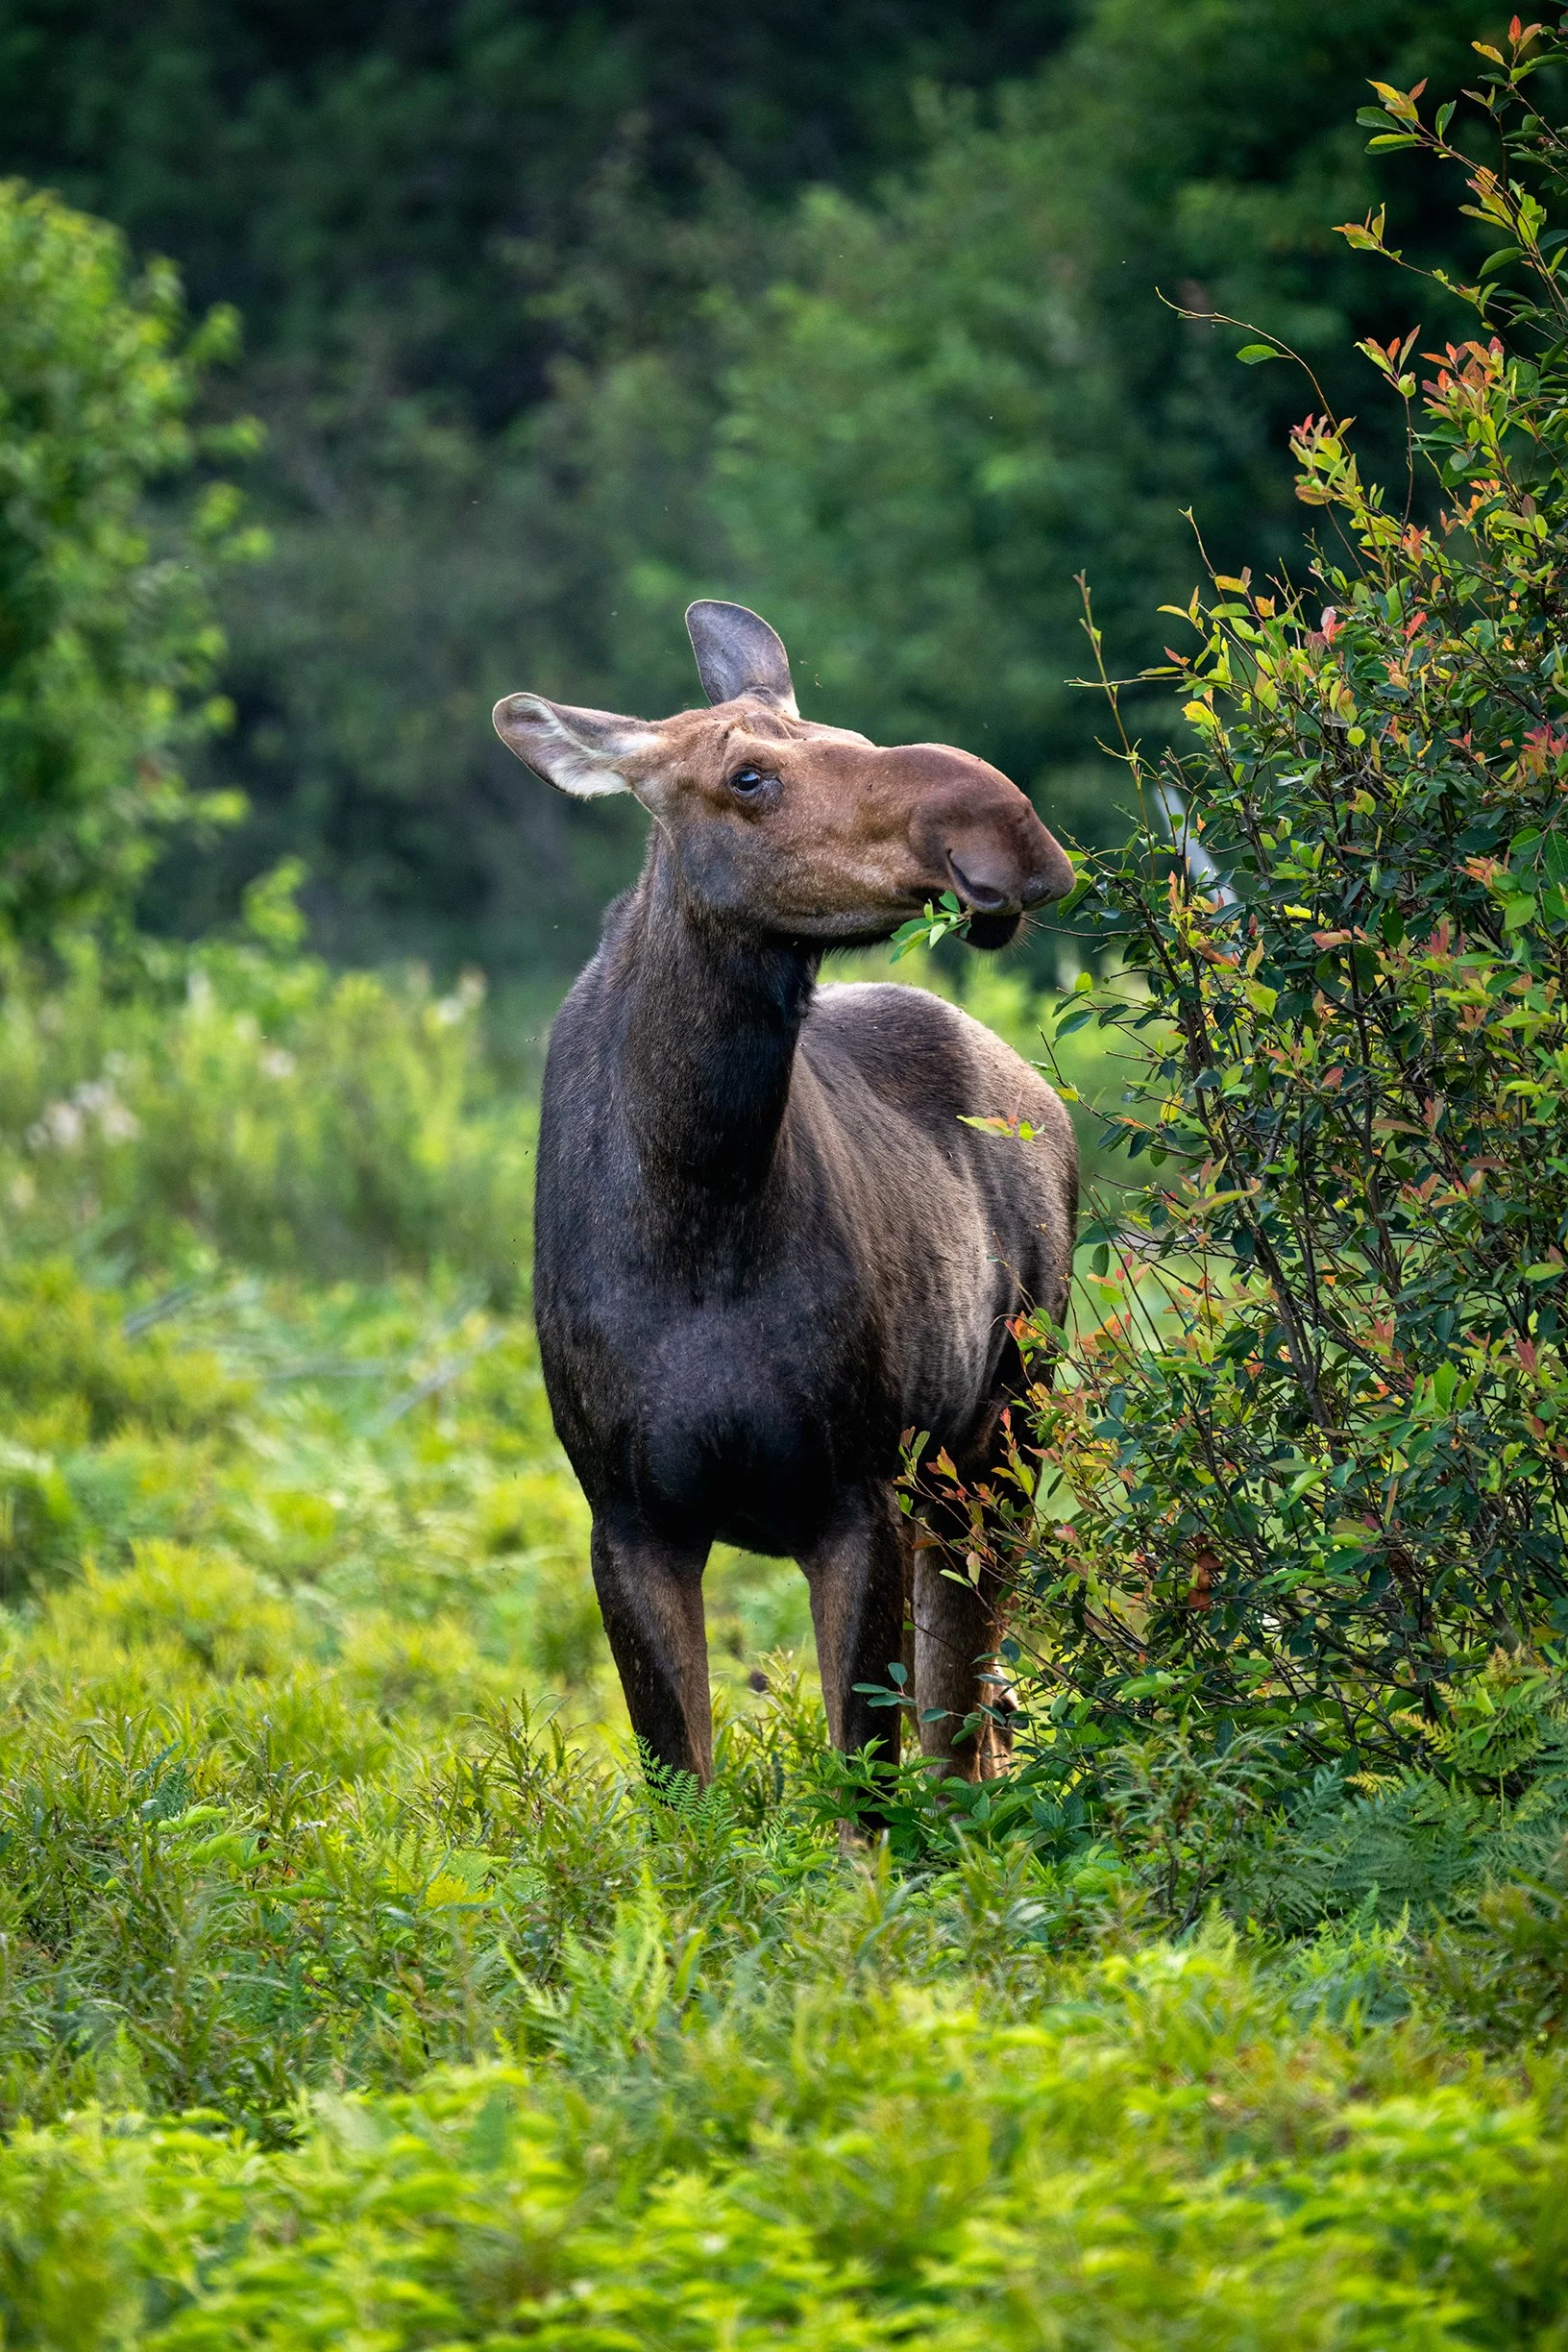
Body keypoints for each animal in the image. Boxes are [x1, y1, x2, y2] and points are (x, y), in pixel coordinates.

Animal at [493, 601, 1077, 1804]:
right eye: (749, 777)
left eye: (851, 735)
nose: (1006, 831)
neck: (698, 1212)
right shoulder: (628, 1519)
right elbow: (687, 1793)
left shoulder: (853, 1496)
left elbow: (867, 1788)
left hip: (999, 1443)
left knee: (963, 1731)